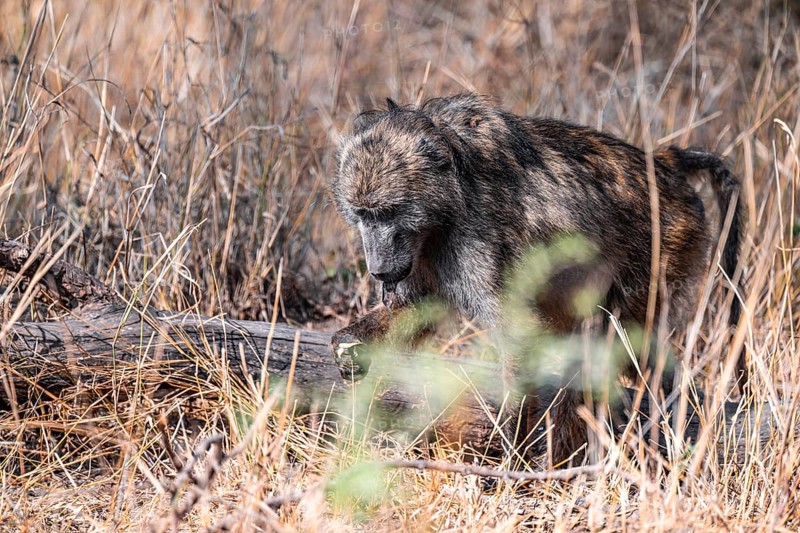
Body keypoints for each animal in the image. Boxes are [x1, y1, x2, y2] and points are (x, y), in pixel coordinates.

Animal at [329, 93, 744, 463]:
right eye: (362, 215)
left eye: (388, 212)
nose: (379, 270)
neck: (446, 202)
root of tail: (664, 165)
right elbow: (418, 308)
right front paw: (351, 346)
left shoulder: (478, 243)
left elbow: (519, 340)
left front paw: (507, 465)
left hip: (665, 252)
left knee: (625, 346)